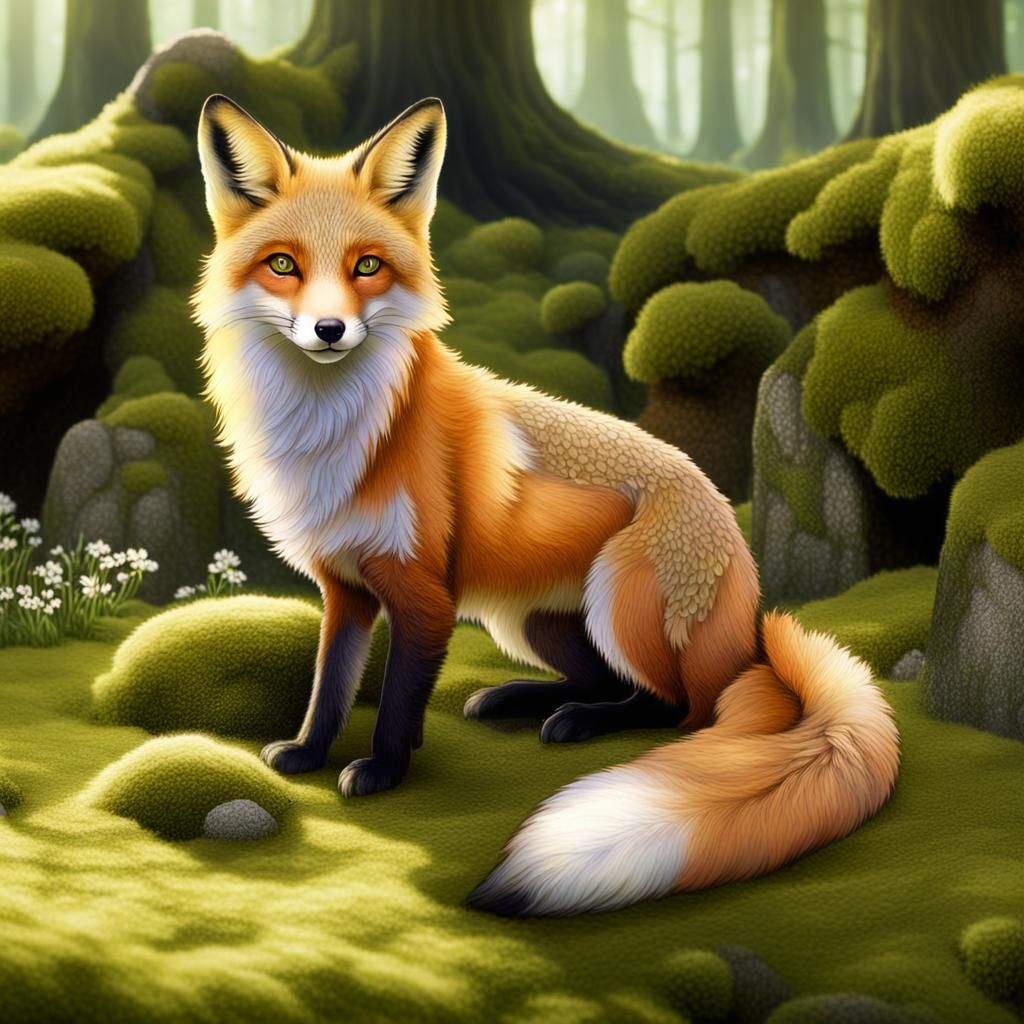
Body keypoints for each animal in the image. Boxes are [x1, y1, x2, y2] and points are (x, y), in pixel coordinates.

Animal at [192, 93, 900, 917]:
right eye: (284, 265)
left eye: (367, 266)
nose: (329, 329)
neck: (337, 433)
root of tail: (750, 621)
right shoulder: (347, 587)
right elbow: (330, 685)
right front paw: (307, 751)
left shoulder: (423, 593)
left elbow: (397, 700)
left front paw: (384, 771)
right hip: (523, 620)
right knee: (607, 680)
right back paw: (518, 699)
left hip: (618, 603)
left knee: (673, 706)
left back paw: (577, 723)